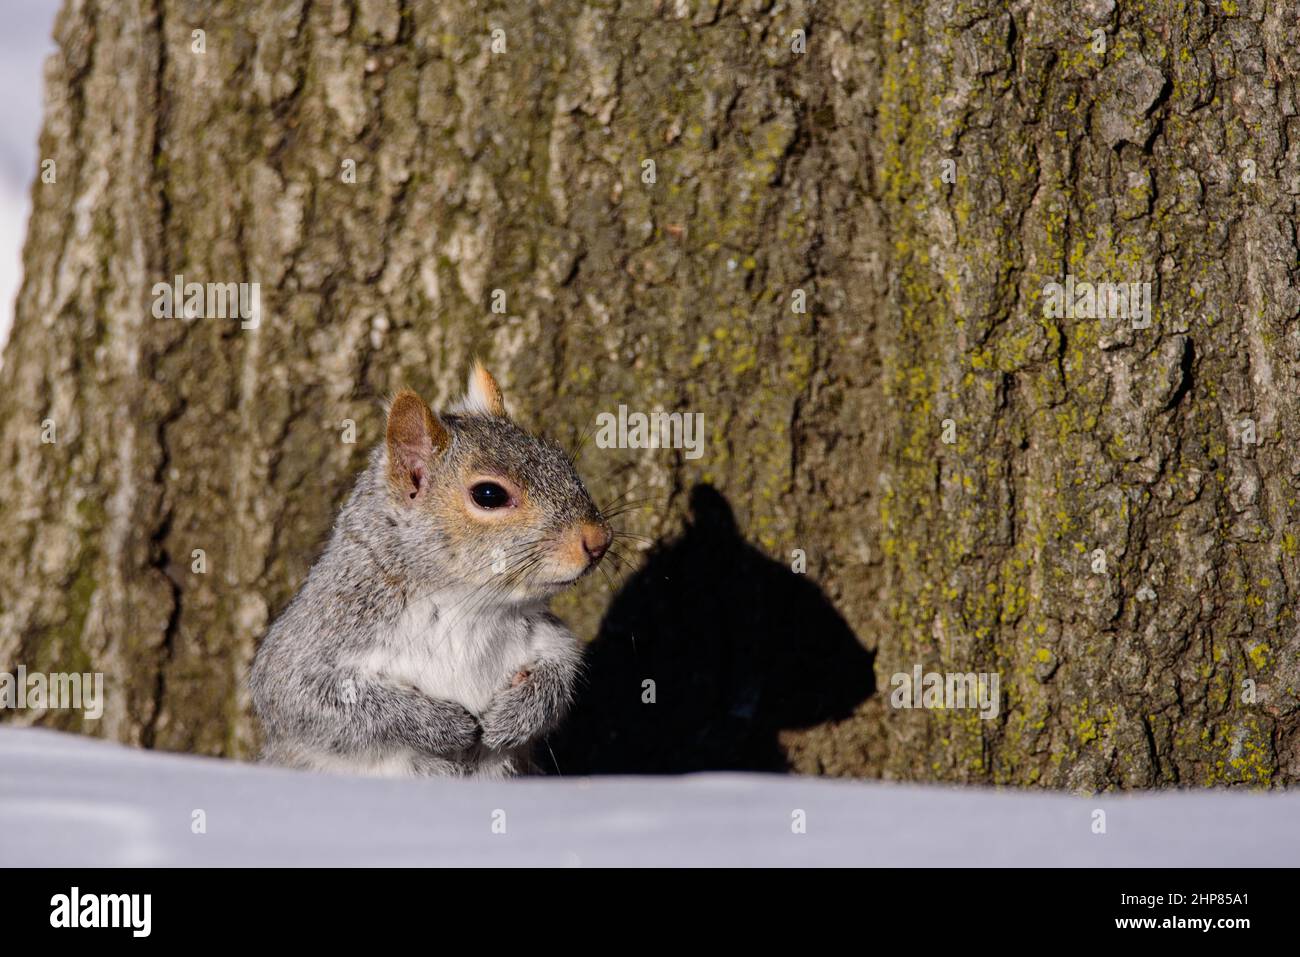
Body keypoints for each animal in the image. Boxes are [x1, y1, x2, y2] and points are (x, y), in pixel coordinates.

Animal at [249, 362, 612, 778]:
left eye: (561, 458)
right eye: (489, 495)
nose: (599, 539)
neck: (466, 604)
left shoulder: (544, 635)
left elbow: (563, 667)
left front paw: (516, 715)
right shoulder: (321, 637)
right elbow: (303, 697)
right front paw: (442, 724)